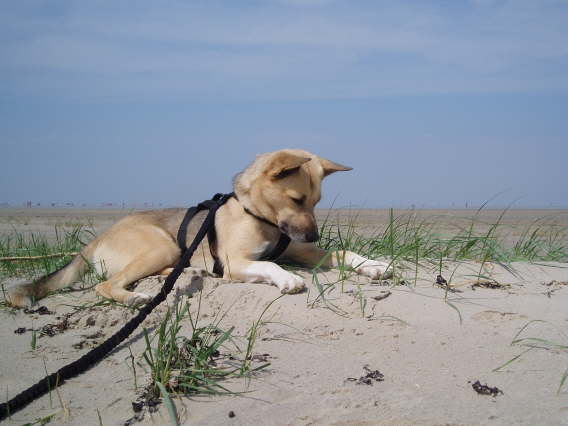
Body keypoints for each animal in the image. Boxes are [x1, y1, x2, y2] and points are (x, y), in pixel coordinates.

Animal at [6, 148, 390, 308]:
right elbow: (269, 263)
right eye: (297, 199)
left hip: (169, 252)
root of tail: (96, 239)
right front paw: (287, 278)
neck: (259, 216)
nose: (312, 235)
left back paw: (187, 271)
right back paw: (134, 298)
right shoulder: (235, 263)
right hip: (159, 245)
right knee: (105, 285)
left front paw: (374, 265)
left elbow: (344, 252)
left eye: (316, 201)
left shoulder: (302, 250)